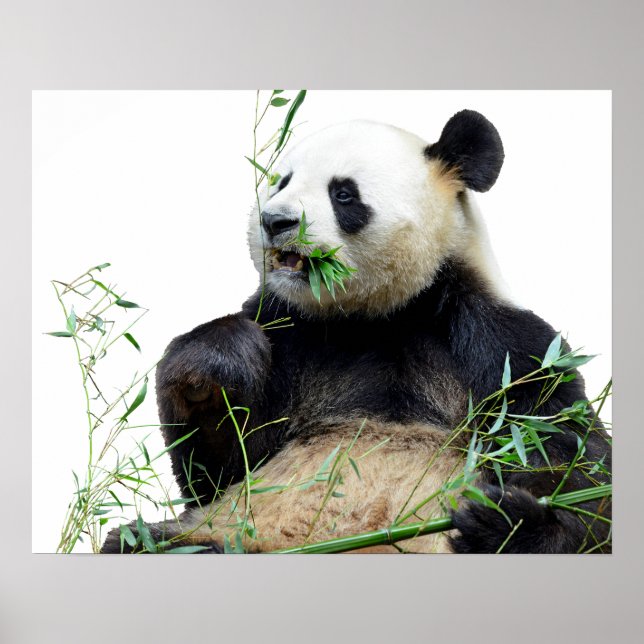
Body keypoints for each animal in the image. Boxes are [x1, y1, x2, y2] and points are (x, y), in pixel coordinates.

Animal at [102, 109, 611, 554]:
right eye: (282, 181)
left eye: (343, 194)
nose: (274, 221)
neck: (377, 317)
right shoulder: (289, 330)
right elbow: (221, 469)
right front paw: (216, 365)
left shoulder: (500, 343)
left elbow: (568, 459)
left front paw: (509, 521)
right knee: (148, 542)